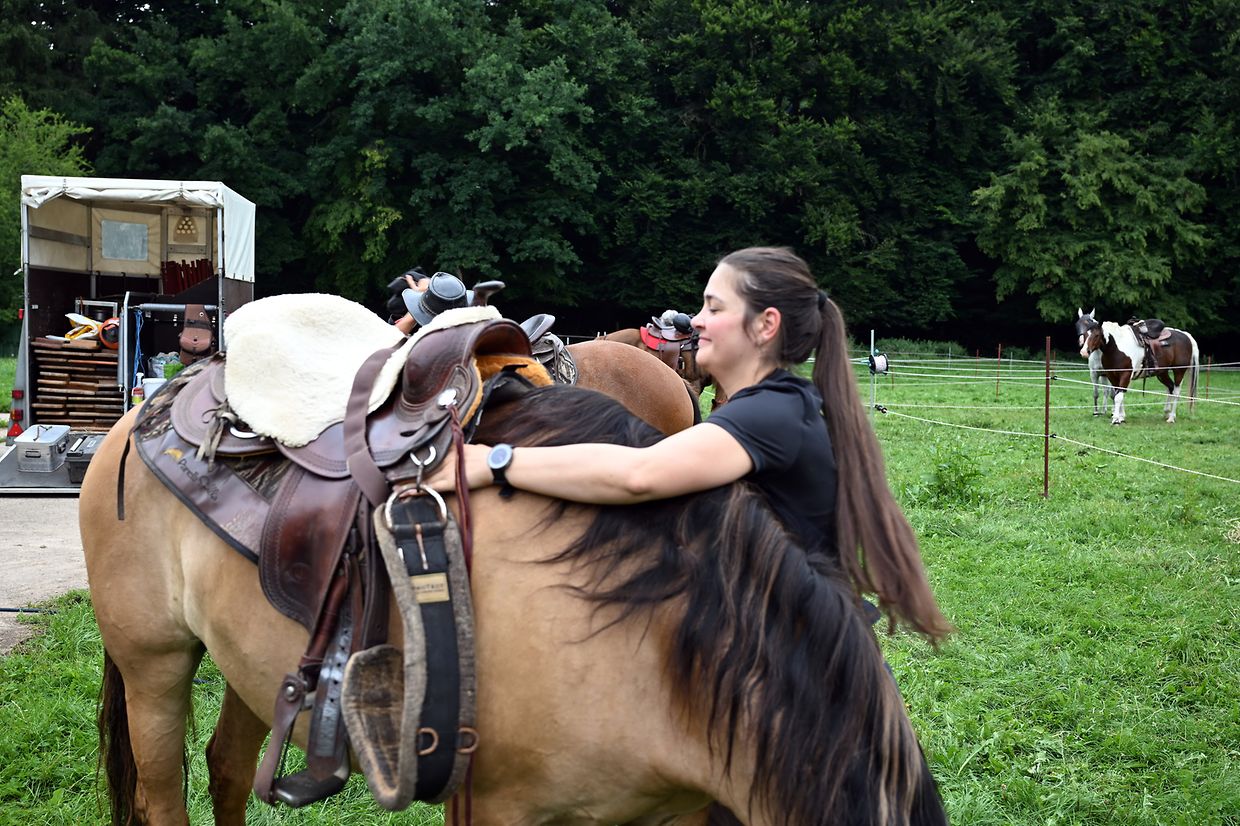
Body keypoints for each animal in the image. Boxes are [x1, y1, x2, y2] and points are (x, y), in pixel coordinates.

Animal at [81, 383, 947, 826]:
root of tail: (146, 409)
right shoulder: (498, 810)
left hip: (251, 666)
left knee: (227, 768)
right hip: (154, 663)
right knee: (162, 791)